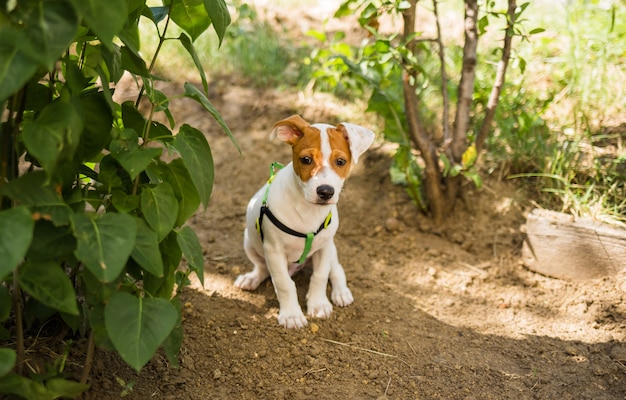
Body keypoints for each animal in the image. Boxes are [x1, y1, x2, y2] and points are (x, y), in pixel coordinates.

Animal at [233, 115, 370, 328]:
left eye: (341, 161)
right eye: (306, 159)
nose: (325, 192)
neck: (309, 211)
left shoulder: (324, 247)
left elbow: (320, 277)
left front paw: (319, 304)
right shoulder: (274, 251)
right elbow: (283, 283)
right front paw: (291, 315)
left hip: (331, 248)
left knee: (336, 269)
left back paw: (341, 292)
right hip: (249, 241)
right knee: (263, 268)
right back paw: (251, 278)